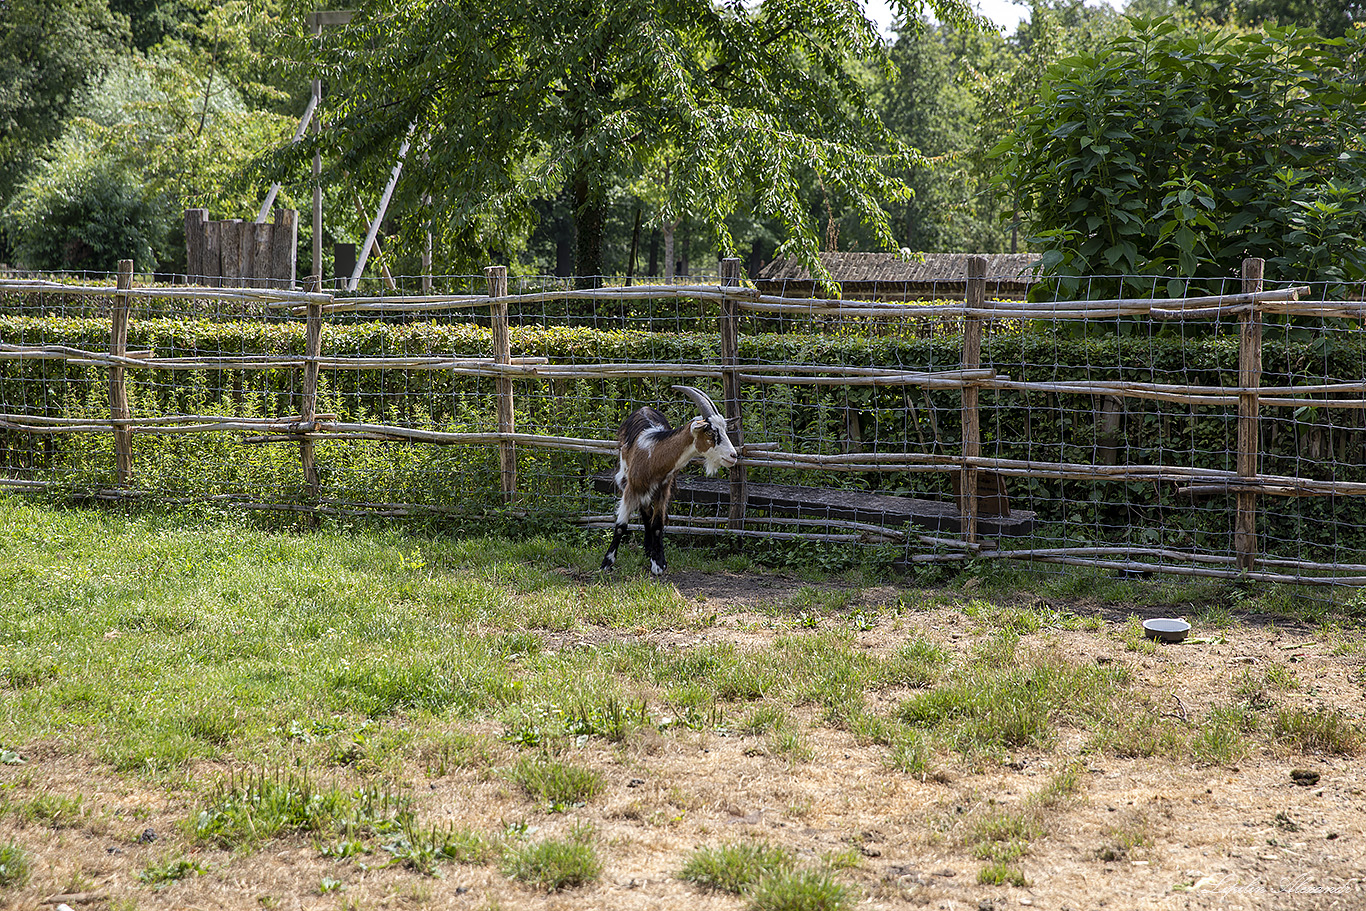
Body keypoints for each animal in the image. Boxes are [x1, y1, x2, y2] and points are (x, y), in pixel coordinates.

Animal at [603, 387, 743, 573]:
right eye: (710, 431)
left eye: (725, 430)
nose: (733, 456)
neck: (653, 455)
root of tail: (644, 408)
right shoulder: (631, 487)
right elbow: (621, 526)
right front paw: (607, 562)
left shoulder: (663, 489)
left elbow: (657, 525)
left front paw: (658, 562)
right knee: (644, 512)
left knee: (649, 516)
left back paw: (649, 549)